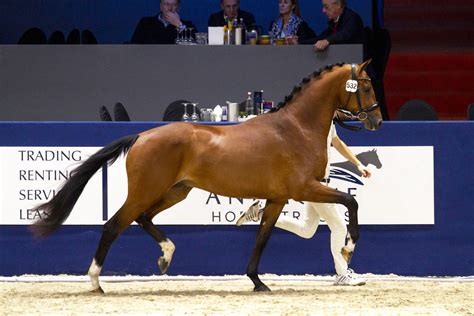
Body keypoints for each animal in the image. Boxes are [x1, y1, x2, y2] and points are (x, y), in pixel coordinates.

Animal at [30, 60, 382, 292]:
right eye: (366, 85)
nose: (377, 120)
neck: (296, 128)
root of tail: (142, 136)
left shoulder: (278, 197)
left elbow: (262, 235)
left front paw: (257, 281)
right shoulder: (304, 188)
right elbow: (351, 203)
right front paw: (348, 247)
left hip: (175, 191)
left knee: (143, 218)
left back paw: (166, 257)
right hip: (147, 191)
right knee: (114, 224)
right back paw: (95, 281)